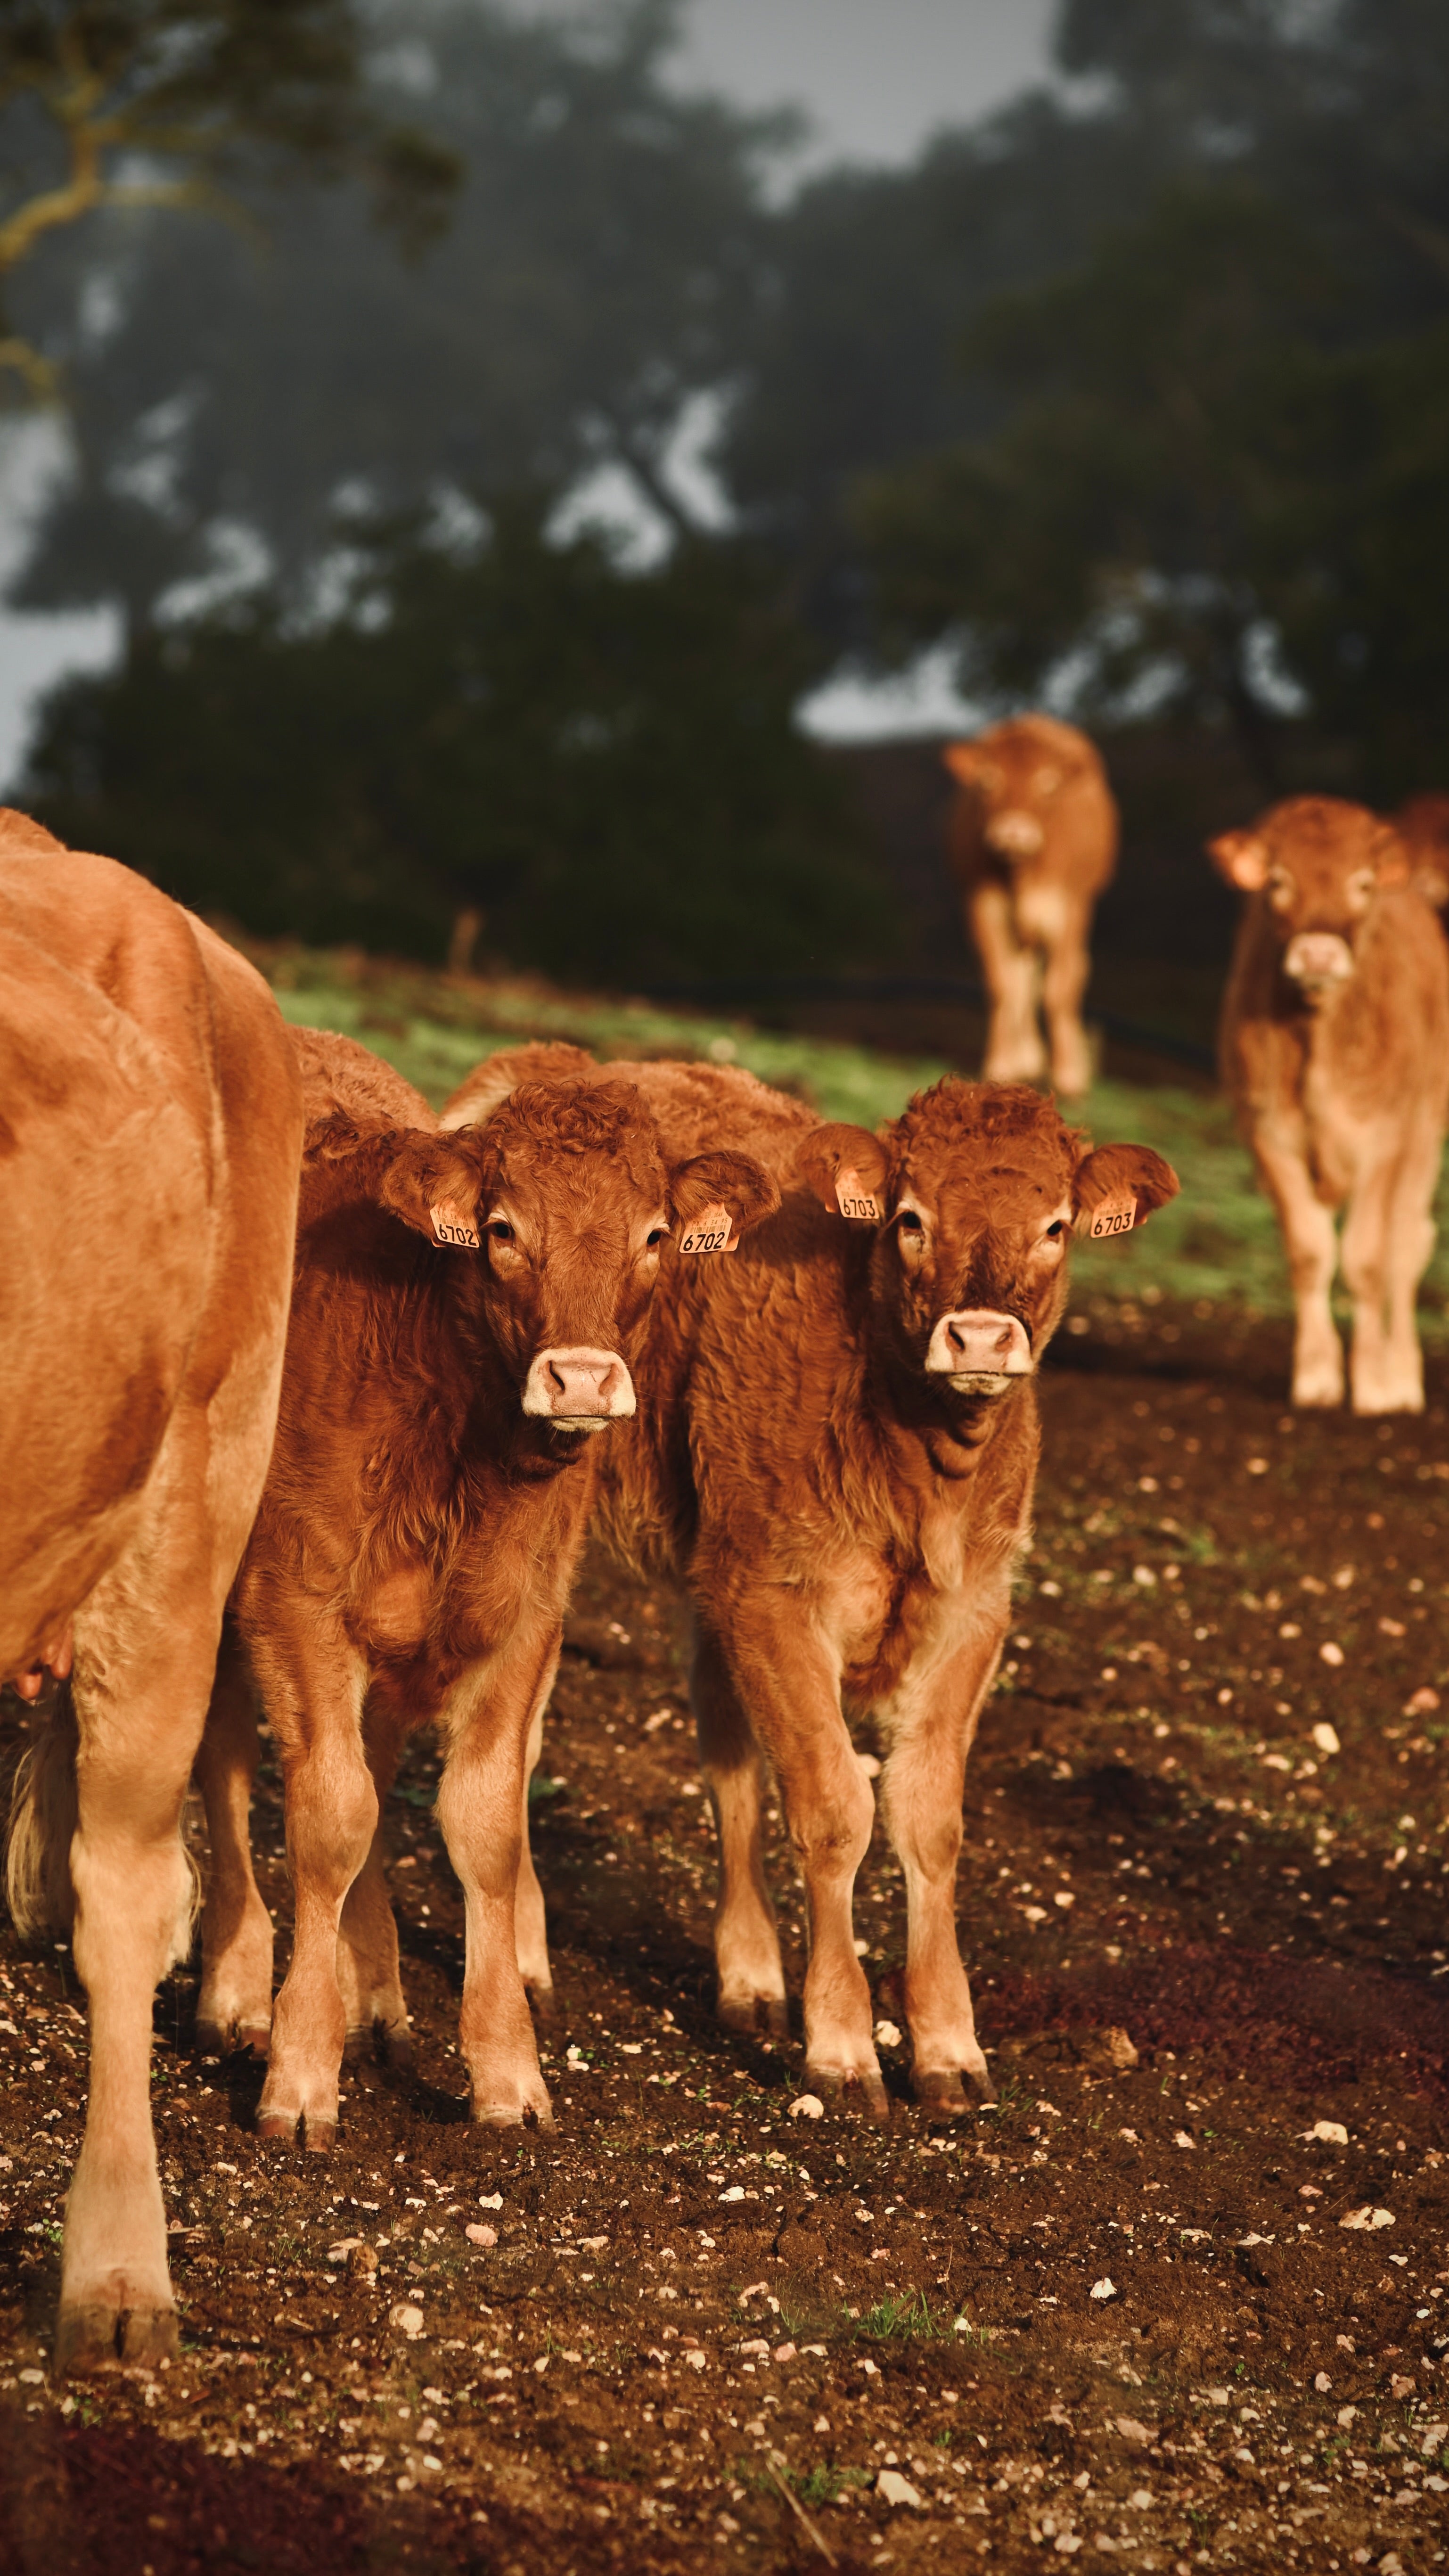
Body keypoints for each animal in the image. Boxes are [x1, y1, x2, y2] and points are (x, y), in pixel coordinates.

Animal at [192, 1031, 777, 2143]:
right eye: (503, 1229)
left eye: (654, 1233)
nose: (582, 1378)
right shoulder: (294, 1603)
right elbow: (329, 1819)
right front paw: (300, 2072)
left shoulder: (522, 1619)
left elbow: (482, 1827)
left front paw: (508, 2073)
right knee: (224, 1766)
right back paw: (237, 1989)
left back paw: (375, 1991)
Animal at [446, 1050, 1177, 2116]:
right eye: (910, 1218)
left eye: (1054, 1226)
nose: (980, 1337)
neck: (918, 1454)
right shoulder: (776, 1593)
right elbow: (836, 1812)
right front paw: (841, 2045)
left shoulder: (972, 1613)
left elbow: (928, 1821)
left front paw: (947, 2044)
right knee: (529, 1740)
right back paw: (536, 1958)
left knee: (726, 1752)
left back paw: (749, 1977)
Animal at [942, 714, 1118, 1100]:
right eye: (988, 779)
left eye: (1048, 783)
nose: (1013, 832)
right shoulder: (982, 906)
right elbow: (1002, 986)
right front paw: (1000, 1064)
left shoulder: (1069, 910)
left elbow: (1058, 989)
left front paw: (1067, 1076)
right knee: (1022, 981)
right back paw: (1025, 1059)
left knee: (1070, 976)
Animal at [1211, 795, 1449, 1414]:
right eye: (1277, 881)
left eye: (1362, 882)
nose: (1318, 954)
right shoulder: (1267, 1133)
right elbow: (1310, 1251)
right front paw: (1318, 1375)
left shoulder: (1386, 1138)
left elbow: (1368, 1260)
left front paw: (1372, 1383)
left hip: (1424, 1136)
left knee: (1405, 1247)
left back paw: (1402, 1374)